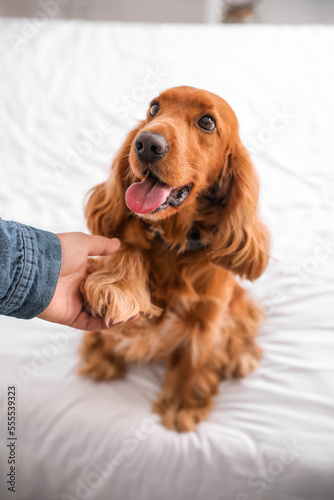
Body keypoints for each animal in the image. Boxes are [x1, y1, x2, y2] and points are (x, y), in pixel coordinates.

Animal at [77, 85, 268, 430]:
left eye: (207, 122)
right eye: (154, 108)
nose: (146, 144)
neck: (174, 241)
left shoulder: (207, 318)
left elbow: (195, 360)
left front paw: (183, 406)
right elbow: (127, 247)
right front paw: (115, 289)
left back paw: (240, 355)